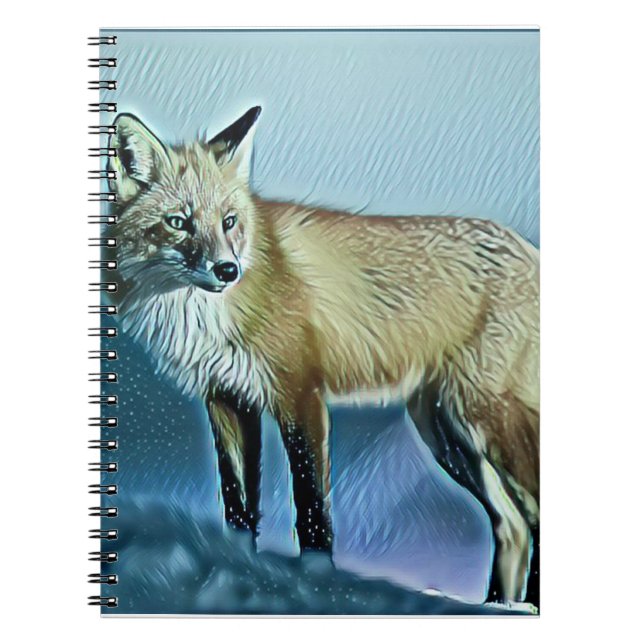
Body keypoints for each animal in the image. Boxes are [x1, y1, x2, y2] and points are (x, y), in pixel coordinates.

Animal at [107, 106, 540, 610]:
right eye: (178, 222)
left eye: (229, 221)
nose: (227, 270)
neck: (202, 315)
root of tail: (528, 249)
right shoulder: (227, 399)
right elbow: (238, 506)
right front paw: (236, 569)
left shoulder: (300, 395)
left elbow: (312, 507)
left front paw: (317, 583)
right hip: (445, 432)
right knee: (512, 526)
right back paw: (498, 606)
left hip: (483, 419)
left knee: (533, 514)